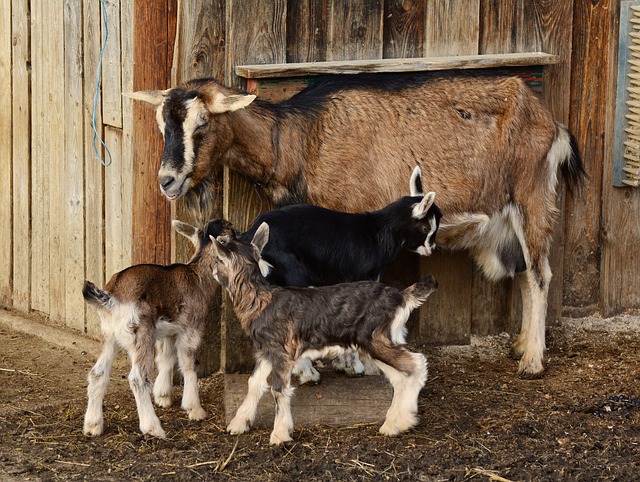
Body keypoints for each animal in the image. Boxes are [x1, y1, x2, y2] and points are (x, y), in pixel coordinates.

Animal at [130, 72, 584, 380]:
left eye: (202, 123)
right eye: (162, 125)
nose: (167, 180)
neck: (300, 139)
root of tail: (551, 121)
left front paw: (352, 361)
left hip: (531, 195)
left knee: (540, 273)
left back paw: (532, 361)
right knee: (525, 272)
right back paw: (520, 346)